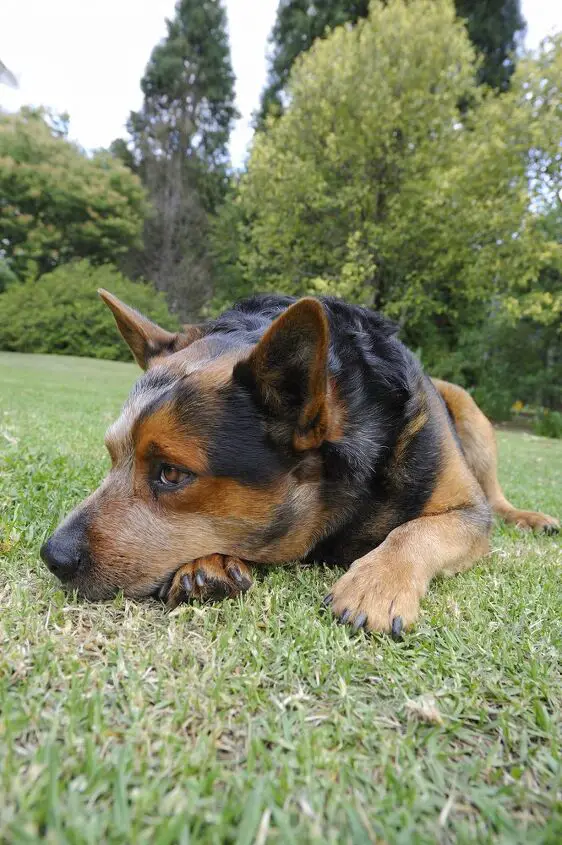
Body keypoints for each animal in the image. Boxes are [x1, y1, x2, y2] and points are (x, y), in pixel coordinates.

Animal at [39, 292, 556, 632]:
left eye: (170, 473)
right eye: (112, 456)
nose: (52, 557)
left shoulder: (467, 513)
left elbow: (416, 530)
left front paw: (377, 583)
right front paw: (207, 563)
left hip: (467, 408)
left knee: (496, 496)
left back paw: (530, 517)